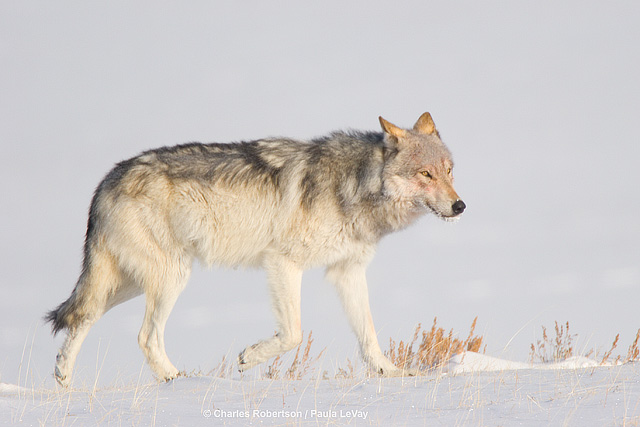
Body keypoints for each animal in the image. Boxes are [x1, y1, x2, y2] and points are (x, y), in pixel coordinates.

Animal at [45, 112, 465, 386]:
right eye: (425, 174)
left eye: (448, 170)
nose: (460, 206)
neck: (355, 187)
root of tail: (108, 178)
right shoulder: (283, 262)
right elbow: (293, 334)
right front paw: (249, 359)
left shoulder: (347, 271)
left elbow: (369, 335)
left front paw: (390, 375)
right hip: (169, 277)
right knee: (144, 336)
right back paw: (181, 380)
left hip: (132, 282)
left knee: (83, 316)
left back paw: (64, 377)